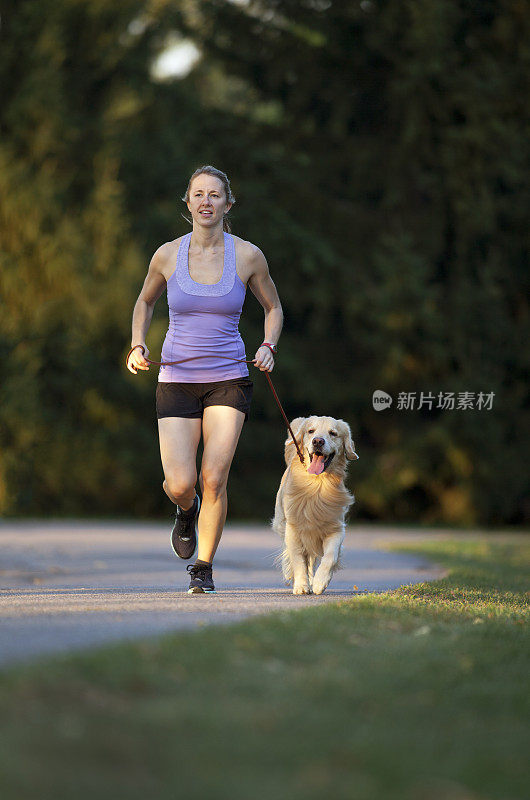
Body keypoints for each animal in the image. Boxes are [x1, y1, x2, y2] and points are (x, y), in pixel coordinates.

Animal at [270, 418, 356, 592]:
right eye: (311, 431)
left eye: (333, 433)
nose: (318, 441)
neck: (317, 484)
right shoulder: (294, 529)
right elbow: (297, 558)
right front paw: (301, 585)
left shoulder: (336, 529)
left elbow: (330, 556)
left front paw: (320, 582)